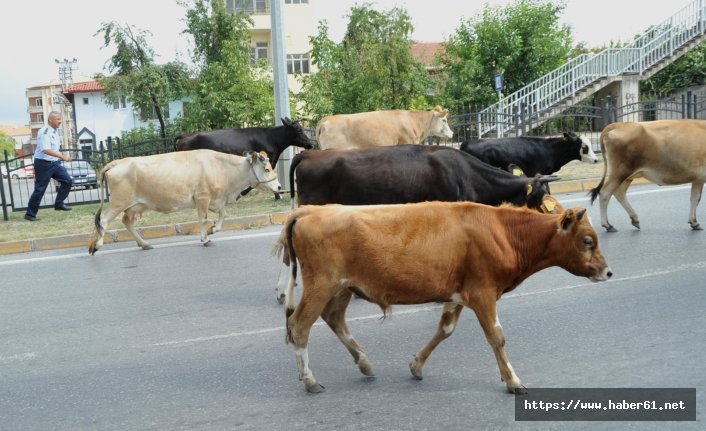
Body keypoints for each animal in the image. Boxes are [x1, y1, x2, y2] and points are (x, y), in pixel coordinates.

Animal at [85, 150, 278, 255]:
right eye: (267, 169)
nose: (280, 186)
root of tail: (118, 162)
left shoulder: (216, 200)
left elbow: (222, 214)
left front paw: (213, 229)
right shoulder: (202, 197)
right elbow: (203, 219)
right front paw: (205, 238)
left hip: (134, 206)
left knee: (127, 222)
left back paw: (144, 244)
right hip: (118, 202)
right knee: (103, 220)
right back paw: (96, 246)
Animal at [272, 201, 608, 394]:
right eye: (587, 240)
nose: (608, 272)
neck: (502, 231)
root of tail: (311, 209)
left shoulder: (459, 293)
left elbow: (445, 329)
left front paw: (417, 366)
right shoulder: (483, 293)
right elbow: (496, 337)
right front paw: (513, 380)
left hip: (343, 288)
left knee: (334, 319)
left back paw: (364, 363)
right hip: (322, 285)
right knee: (300, 326)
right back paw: (310, 380)